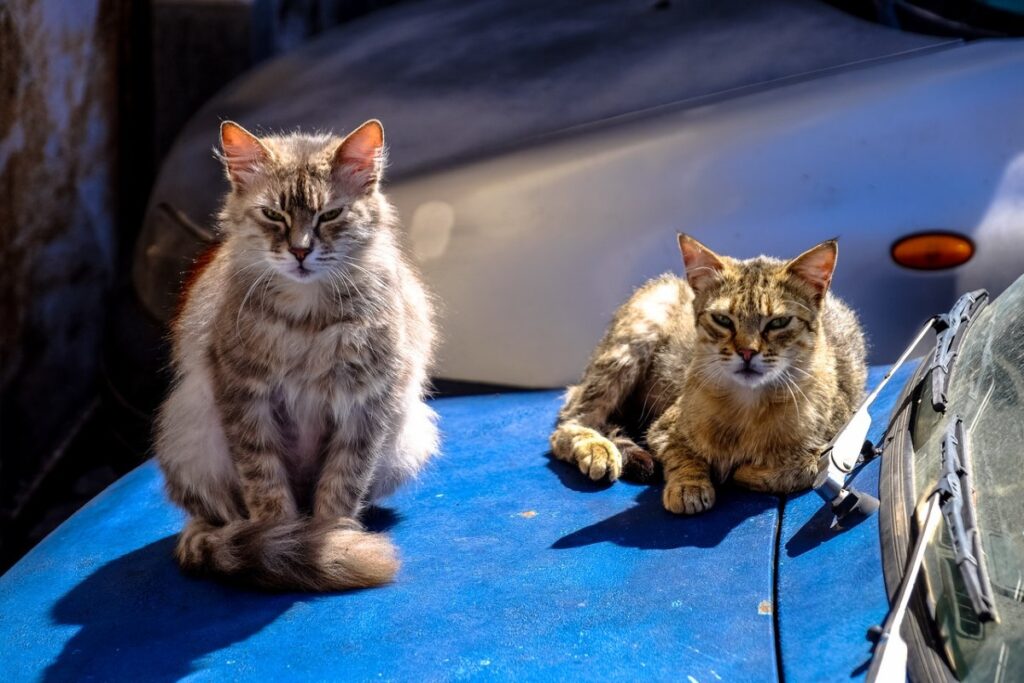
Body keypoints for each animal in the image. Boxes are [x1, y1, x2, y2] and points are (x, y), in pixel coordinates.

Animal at [155, 117, 436, 589]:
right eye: (273, 214)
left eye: (330, 215)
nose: (301, 250)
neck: (307, 320)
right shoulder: (243, 395)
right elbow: (265, 486)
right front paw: (286, 541)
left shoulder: (367, 402)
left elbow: (342, 484)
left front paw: (332, 540)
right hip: (187, 439)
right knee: (217, 515)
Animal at [552, 233, 864, 511]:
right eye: (723, 320)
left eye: (779, 322)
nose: (747, 351)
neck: (748, 408)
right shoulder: (663, 429)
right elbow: (683, 455)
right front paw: (688, 486)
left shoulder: (840, 434)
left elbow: (806, 467)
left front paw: (748, 472)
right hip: (632, 342)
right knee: (568, 423)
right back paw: (596, 448)